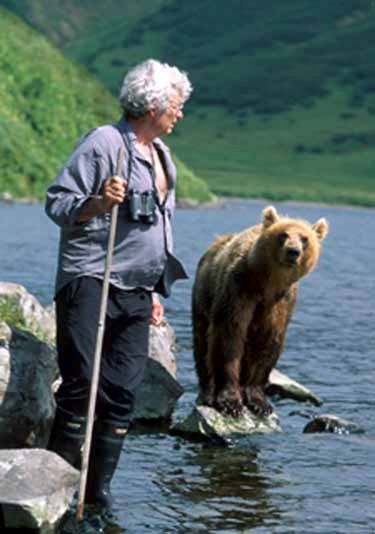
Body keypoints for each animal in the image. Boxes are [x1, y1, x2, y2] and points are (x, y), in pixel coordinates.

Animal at [192, 205, 330, 418]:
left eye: (304, 238)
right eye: (283, 235)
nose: (293, 251)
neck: (268, 283)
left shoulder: (281, 302)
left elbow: (267, 341)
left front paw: (258, 402)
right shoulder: (239, 288)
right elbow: (229, 334)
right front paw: (230, 402)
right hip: (203, 294)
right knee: (202, 341)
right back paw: (207, 392)